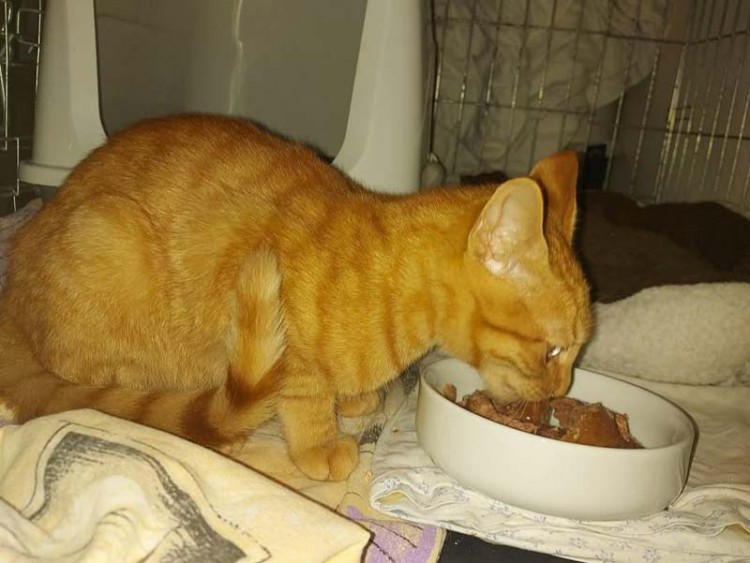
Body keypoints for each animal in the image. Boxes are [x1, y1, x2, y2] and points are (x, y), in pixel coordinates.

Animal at [0, 115, 591, 481]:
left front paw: (355, 399)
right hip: (107, 237)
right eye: (553, 351)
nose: (562, 391)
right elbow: (305, 401)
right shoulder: (291, 354)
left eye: (577, 352)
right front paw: (320, 445)